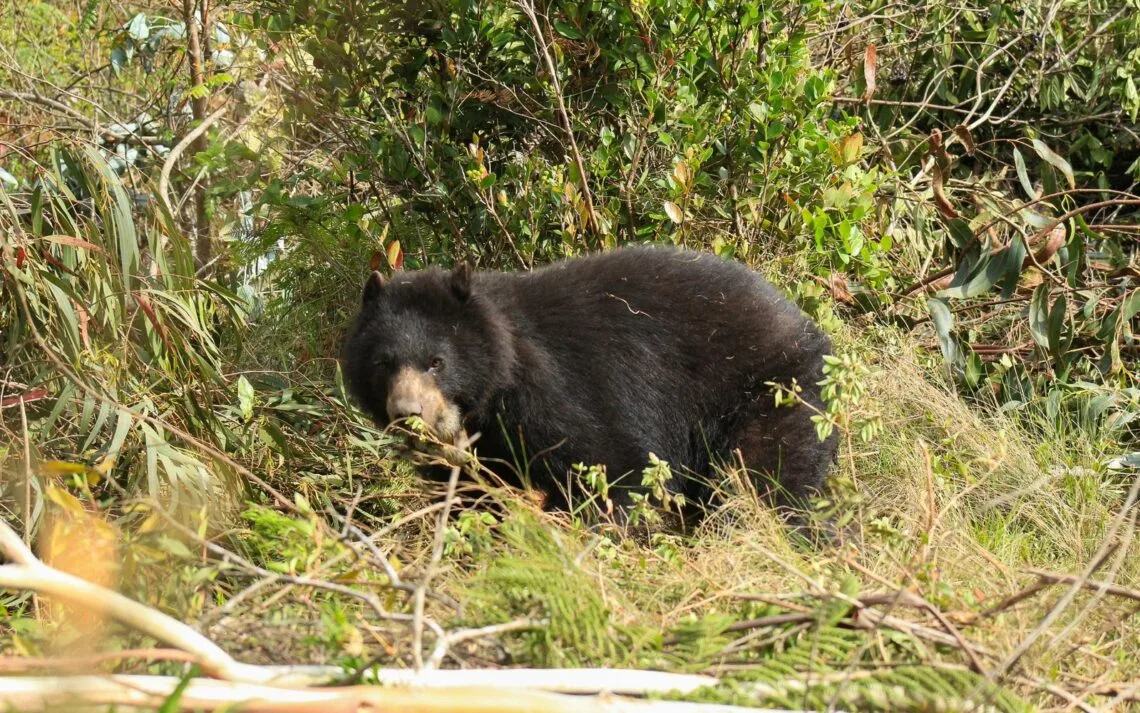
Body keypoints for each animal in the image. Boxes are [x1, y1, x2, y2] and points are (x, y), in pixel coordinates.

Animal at [341, 244, 838, 531]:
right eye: (383, 363)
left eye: (436, 362)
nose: (408, 414)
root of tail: (804, 327)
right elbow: (470, 492)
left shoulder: (554, 389)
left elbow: (613, 462)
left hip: (769, 392)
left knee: (761, 480)